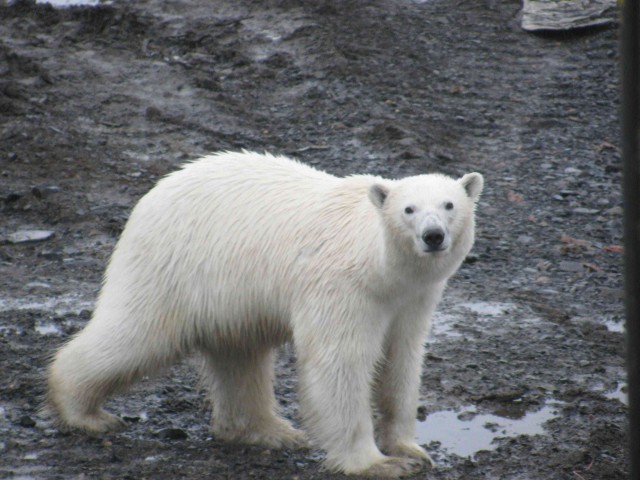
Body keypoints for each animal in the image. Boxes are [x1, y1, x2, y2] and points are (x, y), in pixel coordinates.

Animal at [47, 150, 483, 478]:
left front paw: (411, 450)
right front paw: (375, 462)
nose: (433, 236)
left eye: (449, 204)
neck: (377, 266)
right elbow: (339, 362)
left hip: (227, 294)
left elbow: (402, 361)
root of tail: (152, 194)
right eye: (409, 209)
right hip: (172, 267)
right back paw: (83, 411)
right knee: (135, 334)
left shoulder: (413, 298)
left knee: (240, 355)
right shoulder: (343, 288)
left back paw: (270, 431)